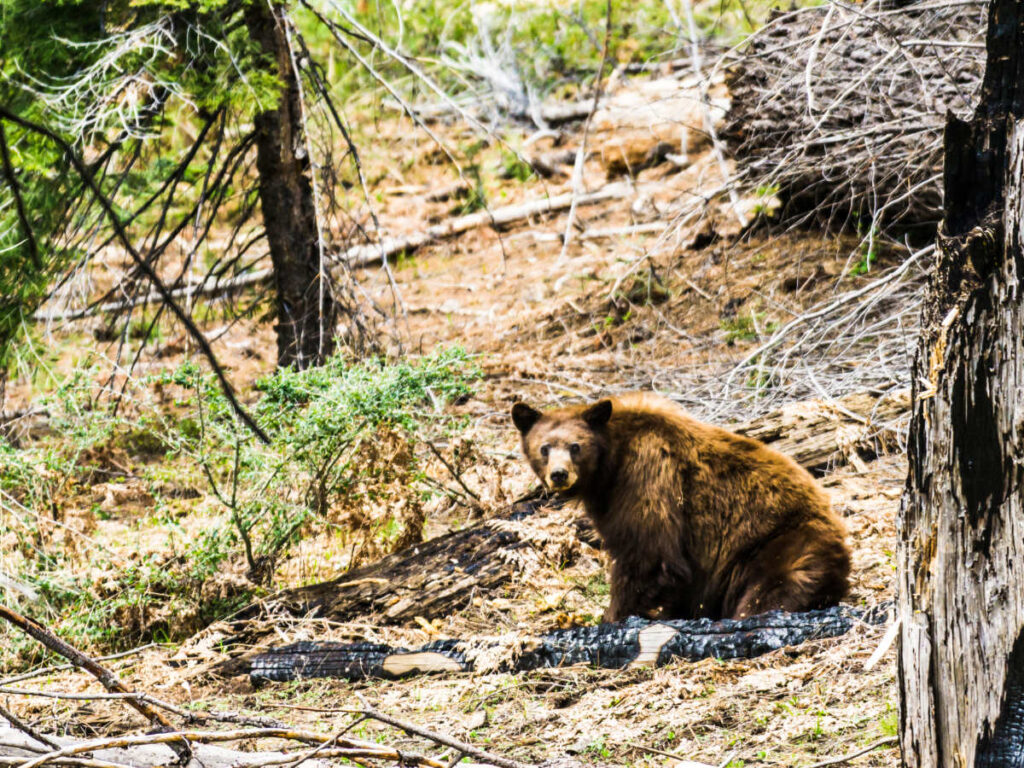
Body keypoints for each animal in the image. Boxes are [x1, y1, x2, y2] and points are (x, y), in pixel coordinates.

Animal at [511, 392, 850, 622]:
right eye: (544, 448)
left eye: (575, 446)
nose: (559, 474)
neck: (611, 462)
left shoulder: (647, 476)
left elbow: (650, 556)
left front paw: (612, 616)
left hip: (779, 546)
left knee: (770, 592)